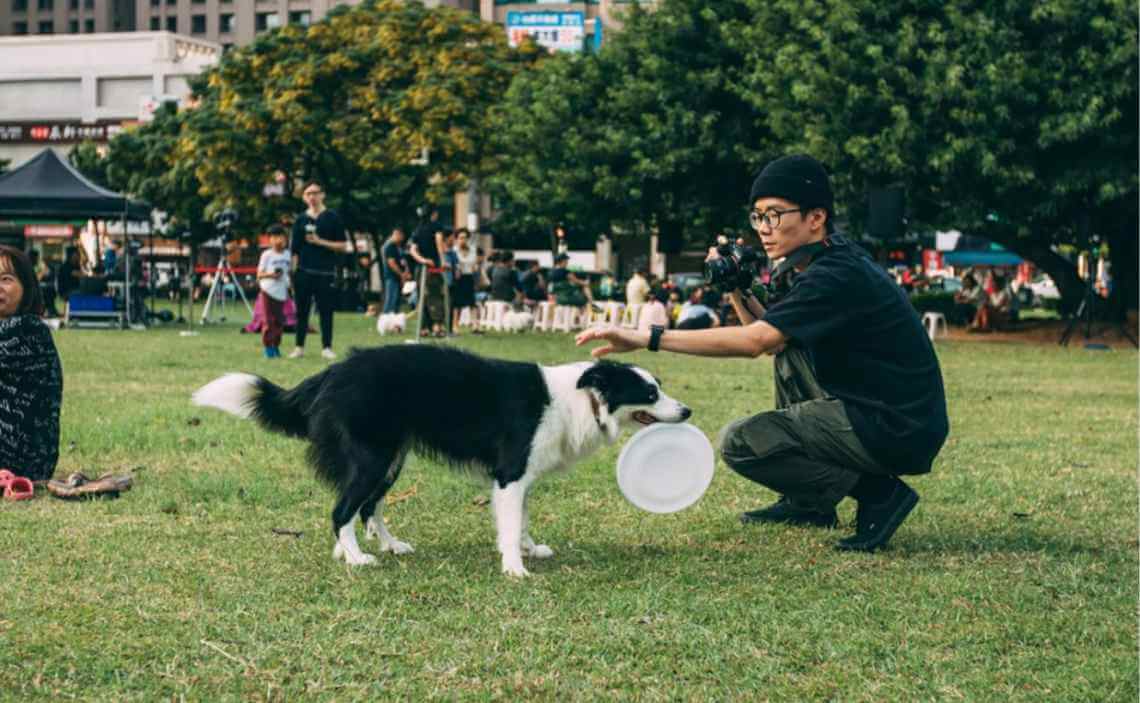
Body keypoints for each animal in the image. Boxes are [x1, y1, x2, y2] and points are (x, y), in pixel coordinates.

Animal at [192, 344, 688, 576]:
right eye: (649, 394)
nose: (687, 412)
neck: (581, 398)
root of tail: (332, 372)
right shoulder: (510, 472)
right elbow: (510, 523)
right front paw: (515, 567)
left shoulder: (523, 477)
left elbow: (523, 518)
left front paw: (530, 549)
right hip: (373, 456)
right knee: (342, 509)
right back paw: (356, 558)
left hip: (391, 458)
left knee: (367, 506)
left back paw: (385, 546)